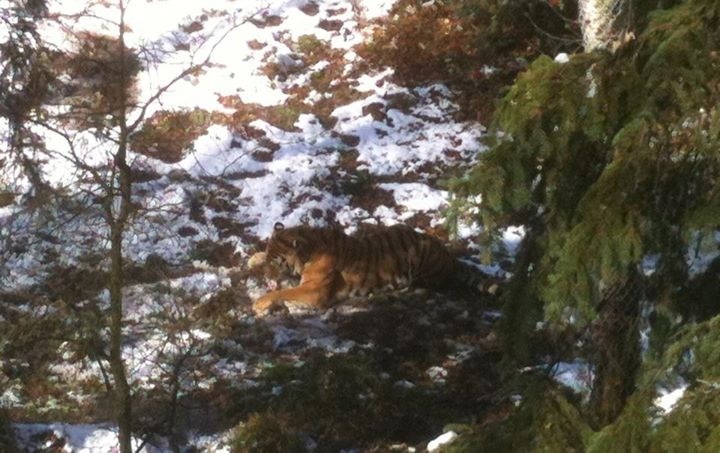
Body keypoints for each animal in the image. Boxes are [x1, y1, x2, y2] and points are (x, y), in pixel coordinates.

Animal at [248, 222, 498, 315]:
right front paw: (253, 259)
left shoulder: (314, 290)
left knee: (432, 286)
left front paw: (259, 303)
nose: (265, 276)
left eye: (276, 263)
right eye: (269, 257)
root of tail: (448, 255)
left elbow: (284, 291)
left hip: (421, 260)